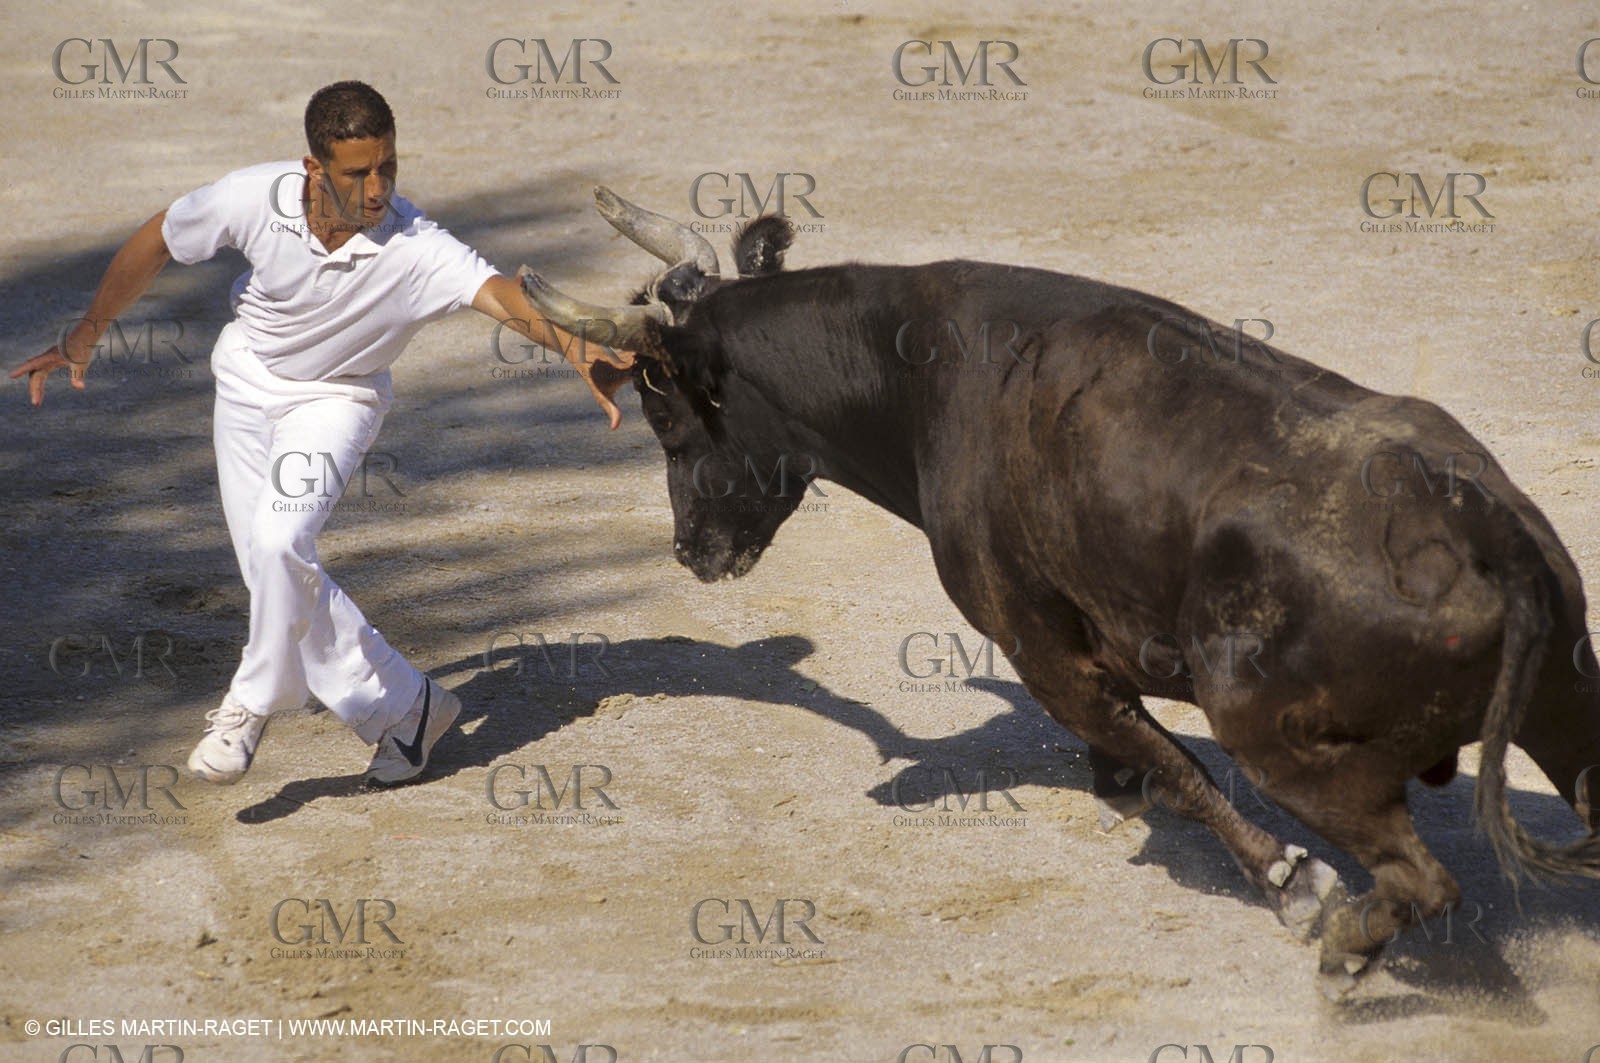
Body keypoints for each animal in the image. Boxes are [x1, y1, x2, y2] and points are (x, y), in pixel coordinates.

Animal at [520, 187, 1600, 994]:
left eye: (663, 410)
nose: (690, 552)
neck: (918, 372)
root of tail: (1482, 528)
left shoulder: (1039, 648)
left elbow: (1174, 765)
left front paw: (1286, 881)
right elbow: (1147, 761)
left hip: (1279, 736)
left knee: (1419, 875)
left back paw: (1340, 945)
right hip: (1565, 703)